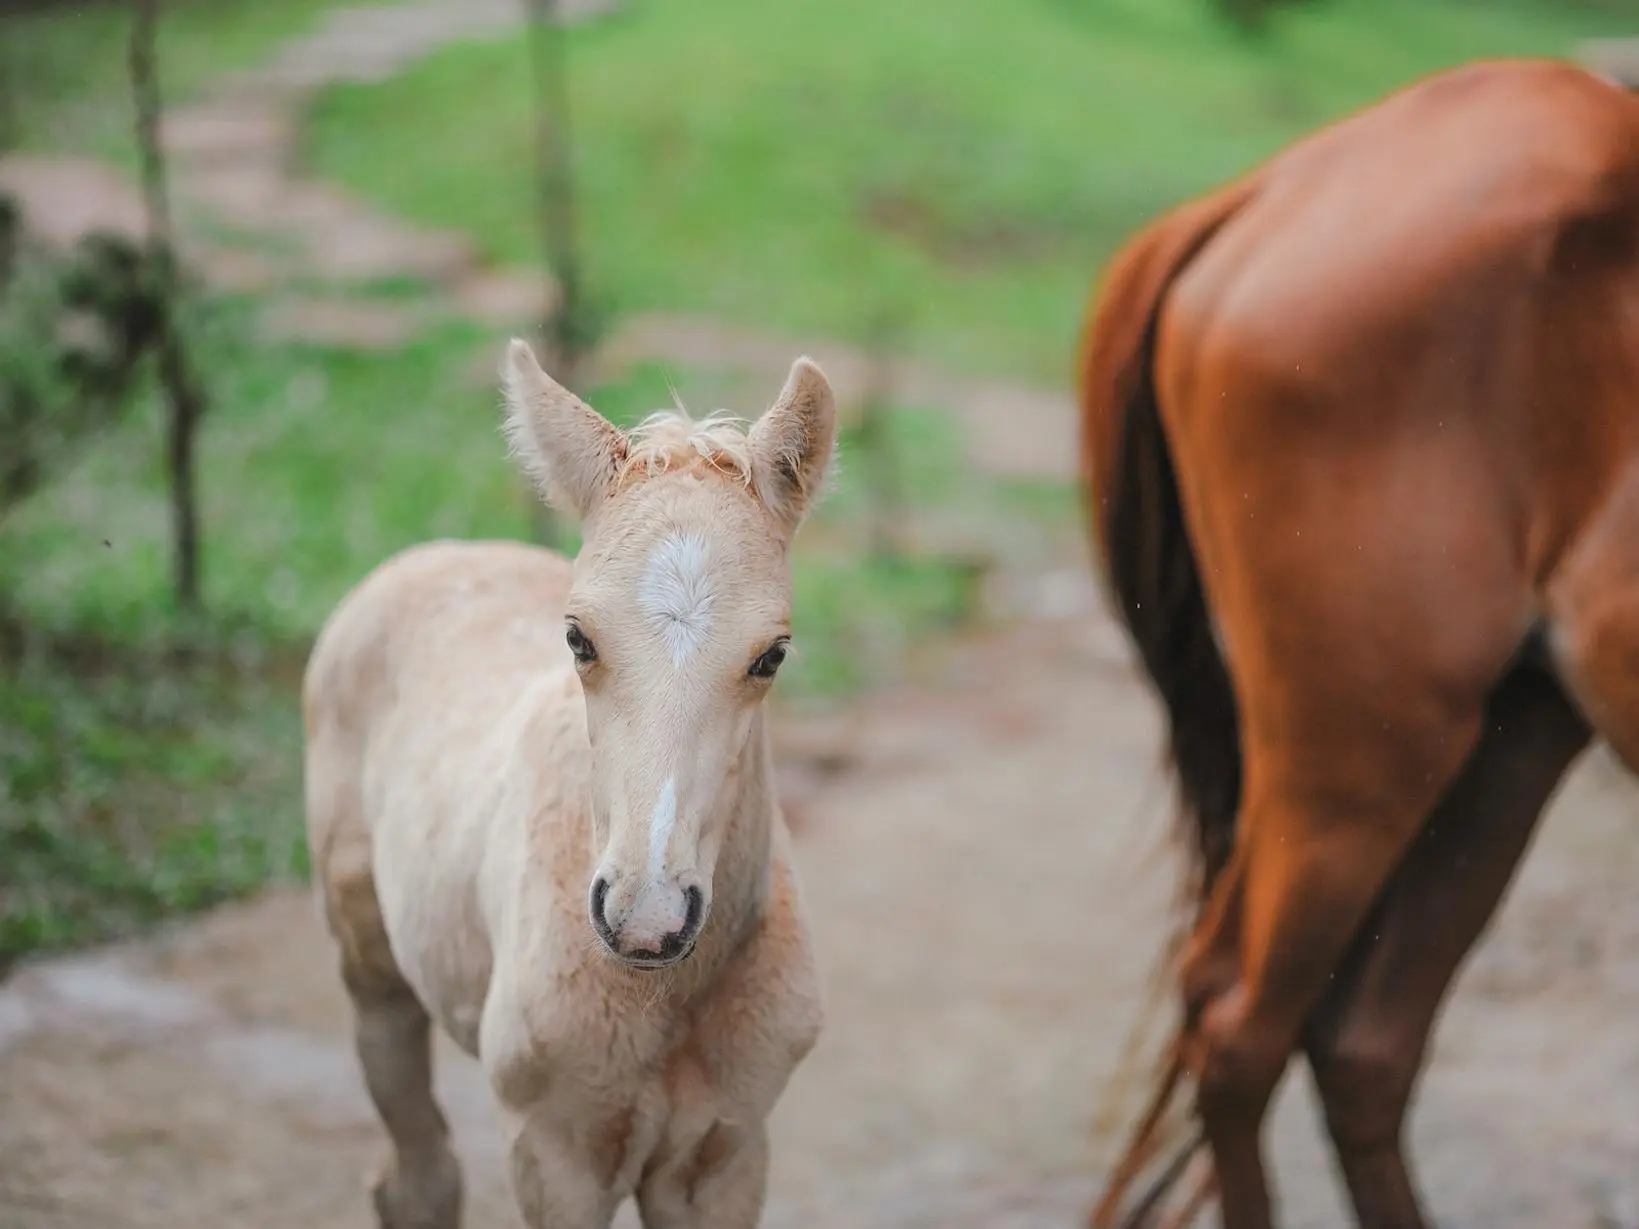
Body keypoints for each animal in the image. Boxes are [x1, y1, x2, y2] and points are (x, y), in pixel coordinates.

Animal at [301, 342, 832, 1229]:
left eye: (772, 654)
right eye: (578, 638)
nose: (647, 921)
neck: (663, 997)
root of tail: (446, 550)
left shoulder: (726, 1152)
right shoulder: (555, 1152)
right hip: (369, 957)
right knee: (416, 1161)